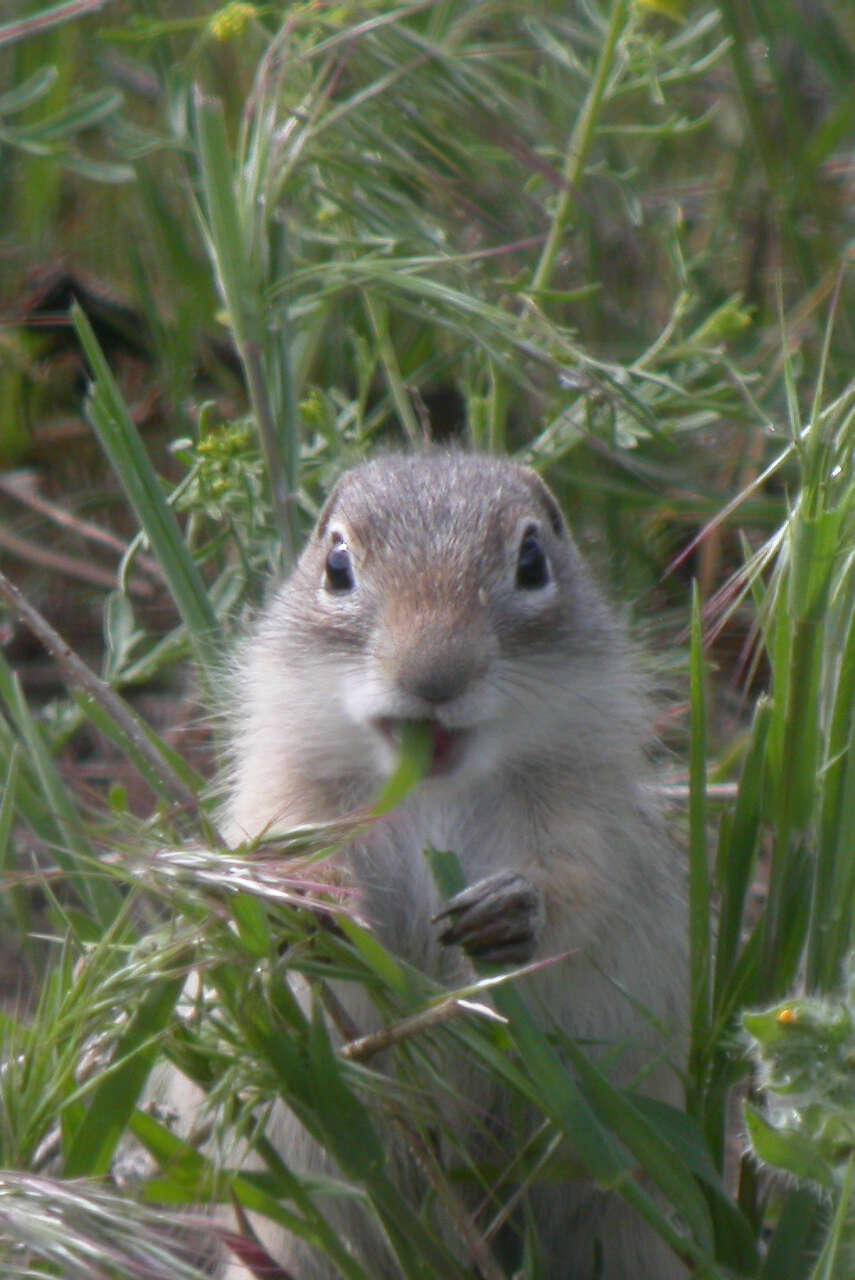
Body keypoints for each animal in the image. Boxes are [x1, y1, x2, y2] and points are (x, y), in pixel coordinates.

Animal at [218, 450, 686, 1280]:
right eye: (336, 566)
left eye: (532, 562)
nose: (433, 677)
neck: (433, 786)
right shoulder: (281, 789)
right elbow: (267, 849)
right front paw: (310, 893)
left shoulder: (585, 813)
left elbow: (581, 881)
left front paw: (511, 910)